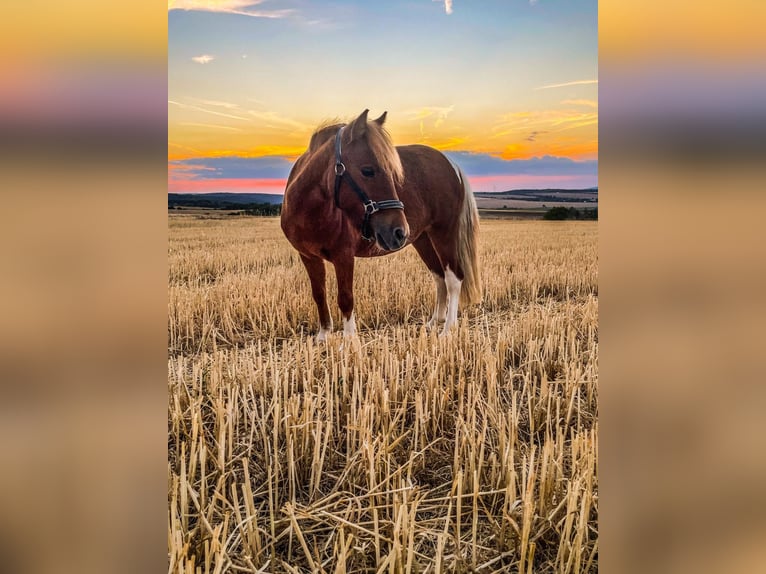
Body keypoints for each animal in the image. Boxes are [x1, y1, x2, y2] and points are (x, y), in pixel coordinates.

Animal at [280, 109, 481, 340]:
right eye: (368, 170)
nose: (399, 231)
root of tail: (451, 164)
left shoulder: (344, 256)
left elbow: (345, 298)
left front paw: (349, 342)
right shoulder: (308, 256)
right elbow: (319, 293)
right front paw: (323, 336)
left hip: (444, 232)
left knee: (453, 277)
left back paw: (448, 330)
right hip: (422, 238)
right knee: (438, 275)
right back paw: (433, 323)